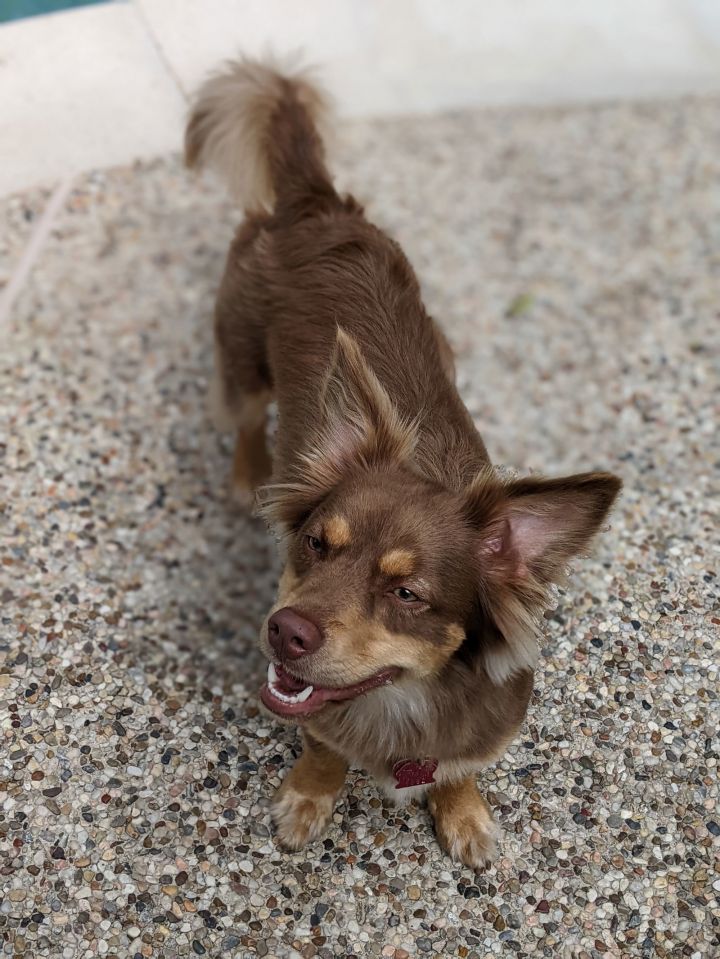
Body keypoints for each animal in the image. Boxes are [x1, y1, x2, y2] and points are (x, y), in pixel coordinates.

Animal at [186, 58, 620, 872]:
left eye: (408, 594)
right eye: (314, 545)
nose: (286, 631)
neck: (402, 702)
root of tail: (315, 201)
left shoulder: (483, 728)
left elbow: (459, 769)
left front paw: (463, 811)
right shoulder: (321, 716)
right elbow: (323, 747)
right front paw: (308, 796)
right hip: (240, 361)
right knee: (244, 417)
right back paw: (247, 472)